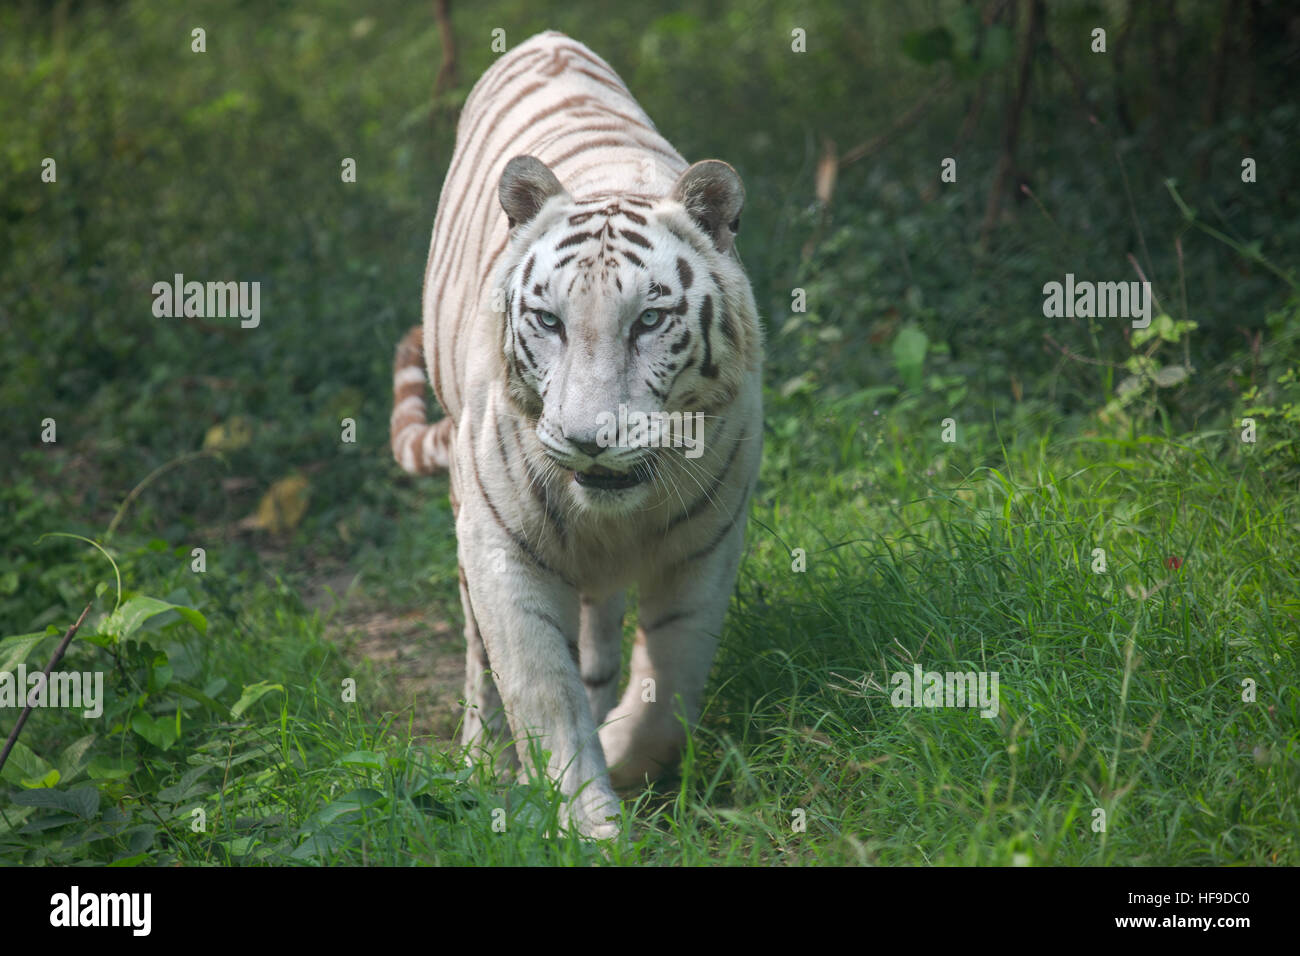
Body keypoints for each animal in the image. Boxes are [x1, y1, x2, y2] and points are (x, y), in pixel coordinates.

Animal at [389, 30, 763, 839]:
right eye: (549, 321)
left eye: (649, 320)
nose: (590, 440)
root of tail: (544, 40)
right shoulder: (501, 548)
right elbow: (542, 696)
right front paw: (589, 826)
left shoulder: (707, 545)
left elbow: (672, 685)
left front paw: (623, 755)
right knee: (480, 664)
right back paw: (481, 760)